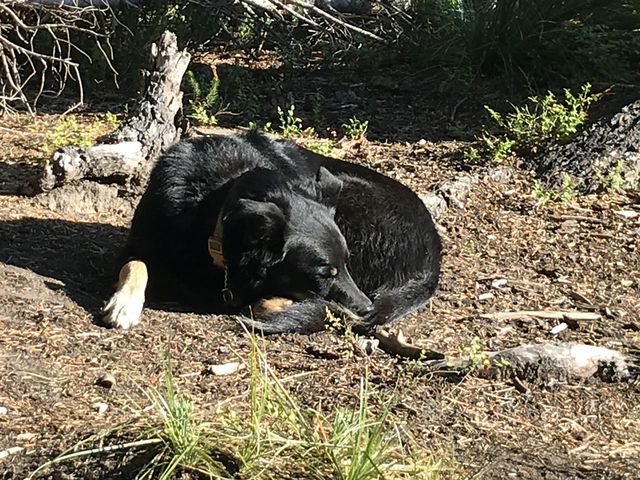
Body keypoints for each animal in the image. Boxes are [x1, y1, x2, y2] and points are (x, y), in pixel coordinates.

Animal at [102, 131, 442, 334]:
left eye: (344, 264)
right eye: (325, 273)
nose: (367, 309)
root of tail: (434, 256)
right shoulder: (140, 242)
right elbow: (136, 265)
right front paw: (124, 304)